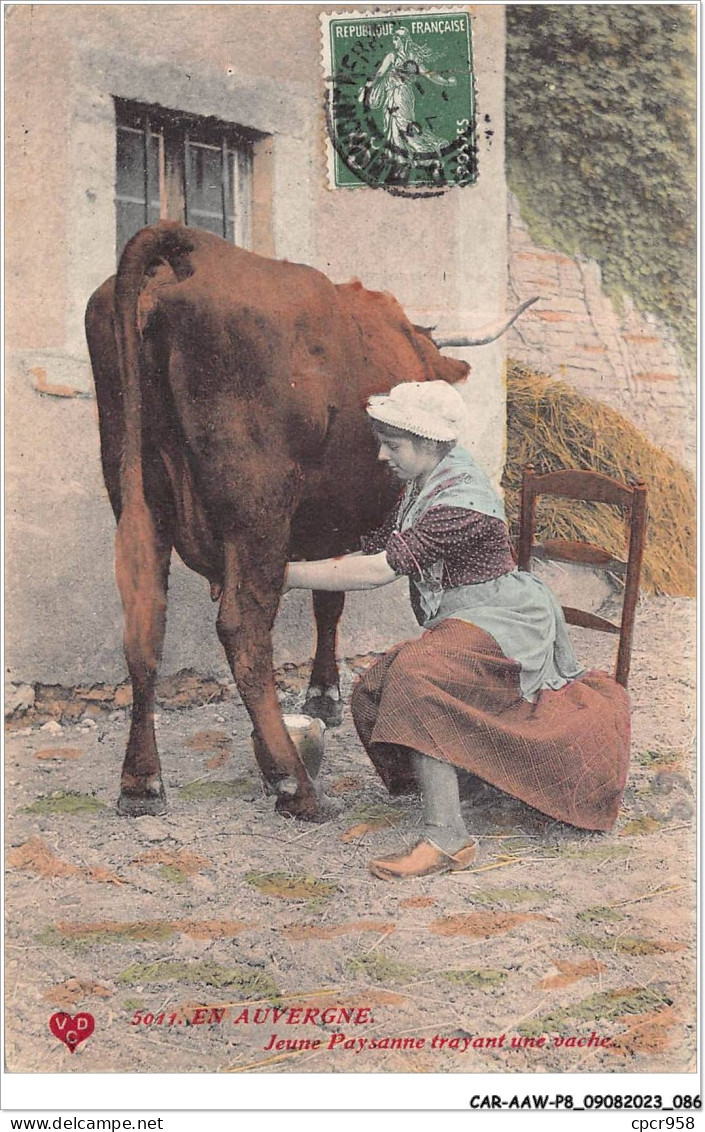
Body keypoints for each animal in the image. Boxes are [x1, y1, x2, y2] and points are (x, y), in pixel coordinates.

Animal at [85, 220, 531, 824]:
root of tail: (191, 246)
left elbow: (327, 594)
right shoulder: (337, 521)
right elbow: (330, 604)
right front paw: (324, 695)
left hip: (135, 490)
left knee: (144, 621)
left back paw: (140, 781)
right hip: (258, 507)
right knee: (243, 627)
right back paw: (294, 784)